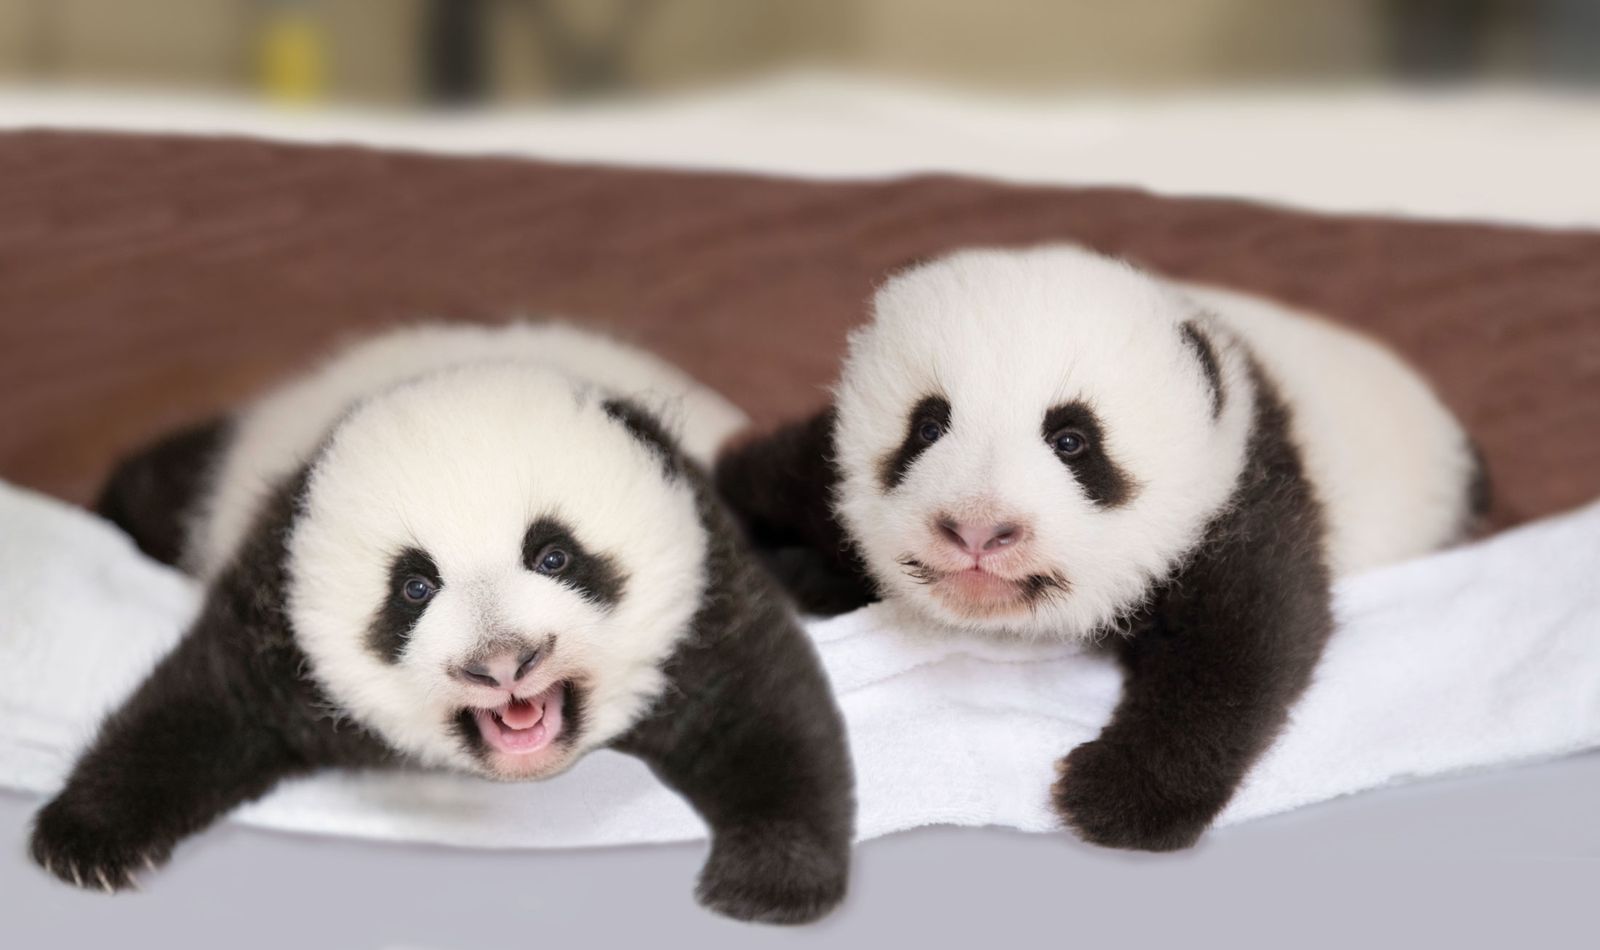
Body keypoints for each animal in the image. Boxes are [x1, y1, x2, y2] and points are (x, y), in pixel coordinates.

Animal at [33, 325, 854, 925]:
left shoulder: (706, 597)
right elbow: (199, 708)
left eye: (553, 554)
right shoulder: (279, 622)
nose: (505, 663)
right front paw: (84, 839)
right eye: (414, 587)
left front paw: (770, 882)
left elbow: (765, 719)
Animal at [715, 246, 1486, 852]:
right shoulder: (817, 466)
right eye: (927, 427)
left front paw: (1114, 799)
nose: (978, 530)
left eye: (1072, 441)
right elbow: (766, 480)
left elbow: (1248, 644)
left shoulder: (1241, 491)